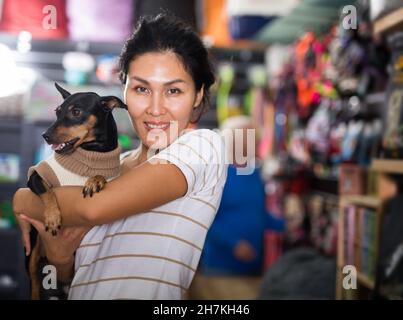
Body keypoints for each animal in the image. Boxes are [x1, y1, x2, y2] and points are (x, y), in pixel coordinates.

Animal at [26, 83, 127, 300]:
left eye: (76, 112)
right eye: (57, 111)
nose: (45, 135)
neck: (93, 152)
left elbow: (100, 176)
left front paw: (94, 181)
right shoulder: (35, 177)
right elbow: (48, 192)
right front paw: (53, 217)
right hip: (32, 252)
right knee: (35, 283)